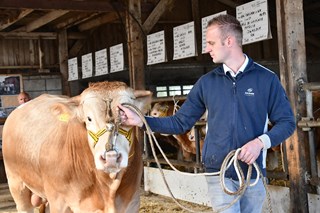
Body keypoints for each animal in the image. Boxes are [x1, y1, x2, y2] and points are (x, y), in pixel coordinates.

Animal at [2, 81, 152, 213]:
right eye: (89, 118)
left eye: (126, 116)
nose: (111, 157)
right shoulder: (59, 203)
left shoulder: (132, 202)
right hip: (16, 183)